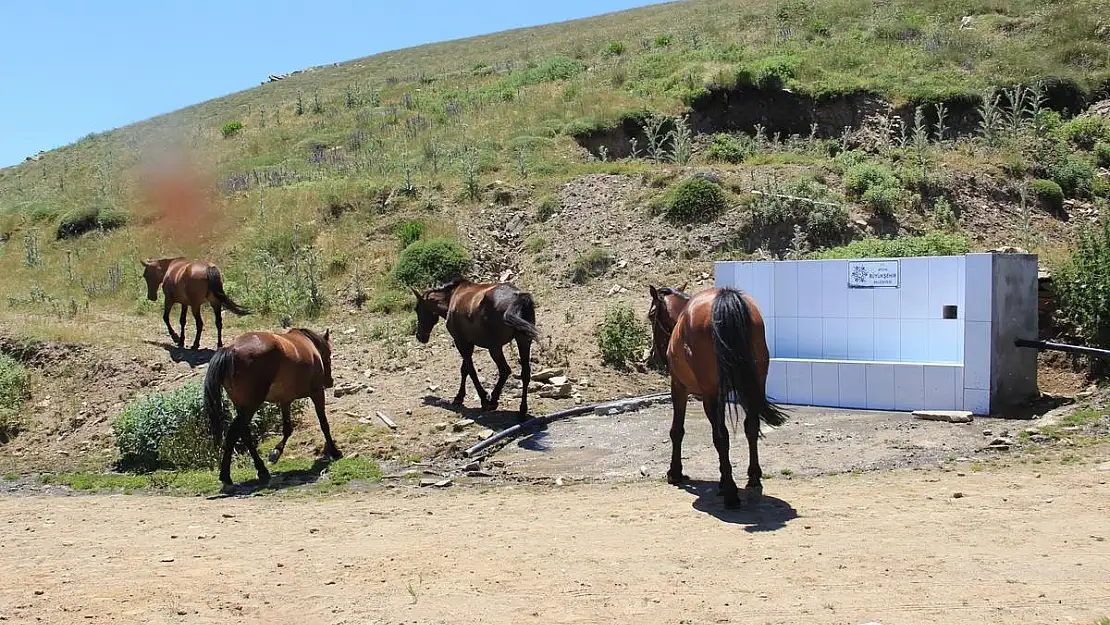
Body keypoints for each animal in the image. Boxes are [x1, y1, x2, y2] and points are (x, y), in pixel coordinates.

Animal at [199, 328, 337, 495]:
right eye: (329, 355)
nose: (330, 382)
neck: (310, 347)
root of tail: (231, 349)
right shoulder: (317, 393)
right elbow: (324, 424)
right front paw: (333, 451)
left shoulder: (285, 400)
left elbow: (287, 429)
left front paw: (275, 453)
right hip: (251, 405)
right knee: (233, 434)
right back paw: (228, 478)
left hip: (242, 406)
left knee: (244, 434)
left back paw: (261, 471)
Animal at [415, 279, 539, 424]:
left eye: (417, 309)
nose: (420, 336)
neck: (452, 297)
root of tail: (518, 297)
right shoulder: (469, 343)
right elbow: (464, 370)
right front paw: (459, 397)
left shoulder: (461, 342)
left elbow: (470, 370)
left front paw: (483, 399)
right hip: (523, 341)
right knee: (525, 374)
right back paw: (522, 411)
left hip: (495, 348)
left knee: (505, 370)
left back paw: (493, 400)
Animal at [648, 284, 785, 508]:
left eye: (651, 315)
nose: (655, 357)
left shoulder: (679, 386)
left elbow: (677, 430)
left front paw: (675, 472)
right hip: (752, 385)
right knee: (751, 426)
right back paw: (753, 480)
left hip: (709, 394)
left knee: (721, 436)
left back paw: (731, 492)